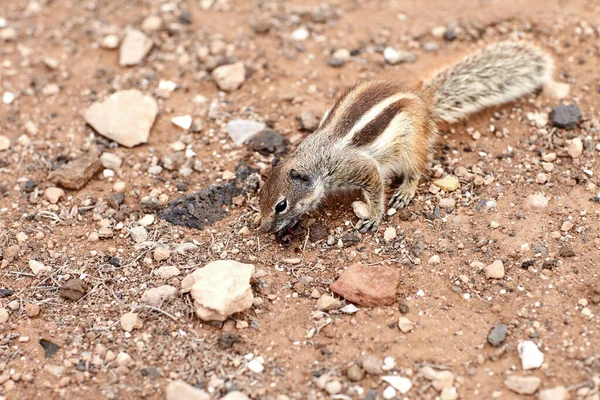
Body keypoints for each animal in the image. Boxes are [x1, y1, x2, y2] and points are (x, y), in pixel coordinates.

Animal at [258, 40, 552, 233]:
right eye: (260, 196)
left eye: (281, 205)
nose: (264, 229)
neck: (316, 158)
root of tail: (424, 103)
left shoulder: (357, 167)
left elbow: (376, 187)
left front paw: (374, 217)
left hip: (410, 145)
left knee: (416, 170)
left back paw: (405, 191)